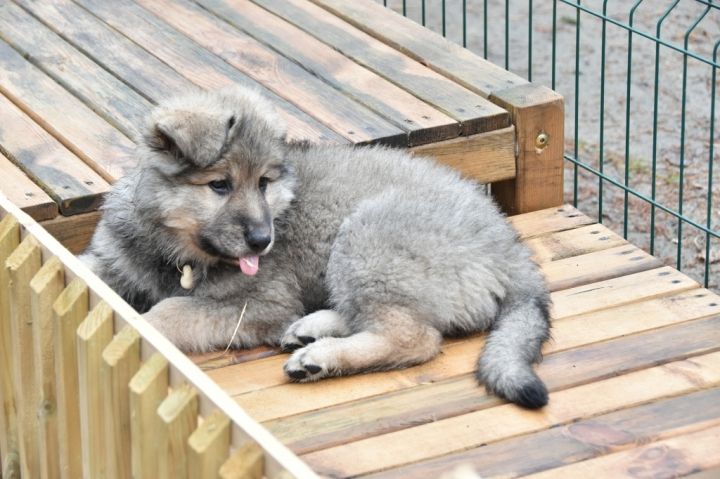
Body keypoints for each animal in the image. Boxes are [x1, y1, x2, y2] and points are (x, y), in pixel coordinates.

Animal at [81, 88, 552, 409]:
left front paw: (142, 326)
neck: (178, 252)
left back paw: (320, 357)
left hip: (368, 238)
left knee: (414, 337)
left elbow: (170, 312)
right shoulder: (111, 261)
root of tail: (511, 252)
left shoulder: (259, 303)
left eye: (264, 183)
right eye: (219, 185)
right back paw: (312, 329)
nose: (262, 241)